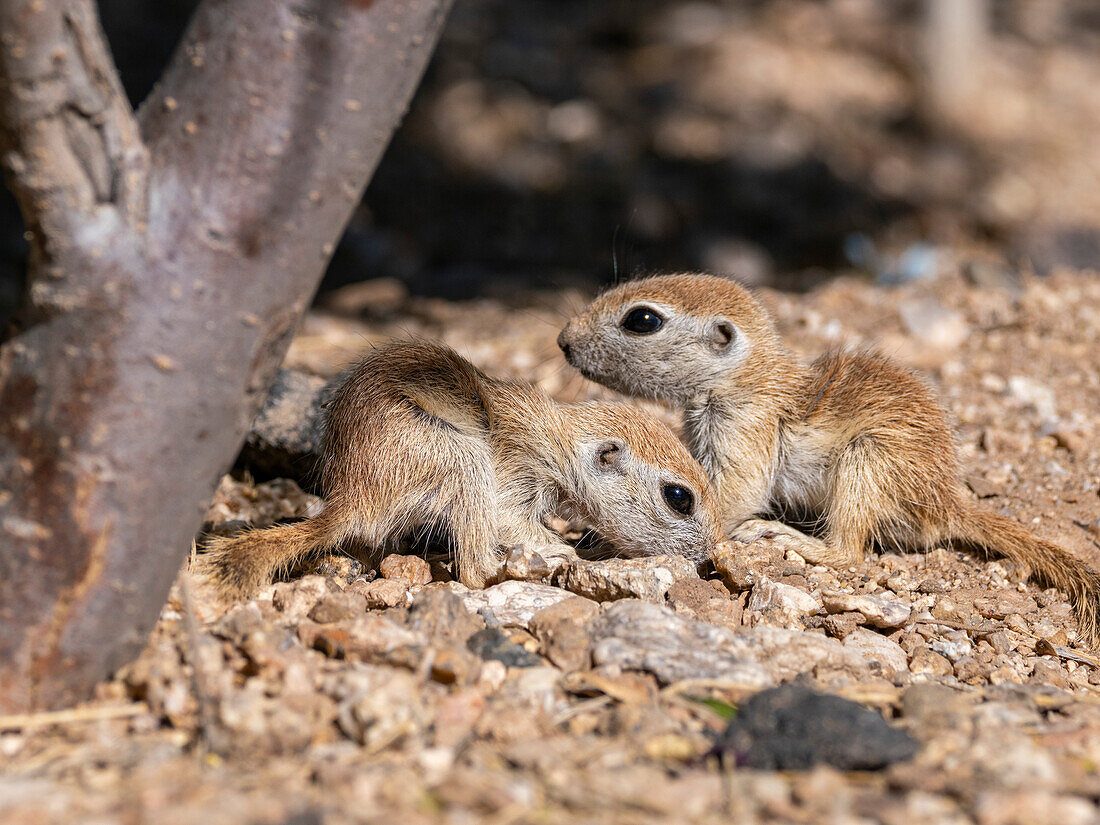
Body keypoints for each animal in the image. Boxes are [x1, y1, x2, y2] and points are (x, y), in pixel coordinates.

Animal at [204, 336, 721, 602]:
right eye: (679, 498)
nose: (709, 558)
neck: (559, 442)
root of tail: (351, 498)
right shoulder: (515, 476)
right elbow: (512, 522)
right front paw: (571, 554)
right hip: (462, 460)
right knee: (472, 569)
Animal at [558, 275, 1100, 642]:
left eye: (642, 319)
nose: (562, 339)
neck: (746, 377)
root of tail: (948, 504)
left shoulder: (745, 427)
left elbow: (734, 495)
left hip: (869, 459)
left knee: (850, 553)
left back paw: (787, 537)